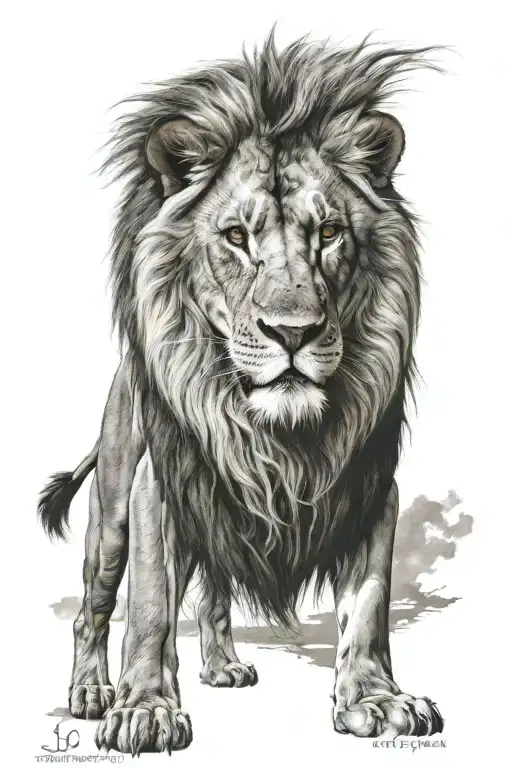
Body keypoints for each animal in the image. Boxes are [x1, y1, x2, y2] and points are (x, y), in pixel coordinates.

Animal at [38, 33, 444, 755]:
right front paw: (145, 710)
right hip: (111, 514)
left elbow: (368, 604)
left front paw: (376, 699)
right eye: (235, 237)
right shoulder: (159, 486)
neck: (277, 433)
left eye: (329, 233)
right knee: (95, 607)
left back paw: (222, 664)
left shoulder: (371, 485)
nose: (293, 332)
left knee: (214, 590)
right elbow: (149, 607)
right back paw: (89, 691)